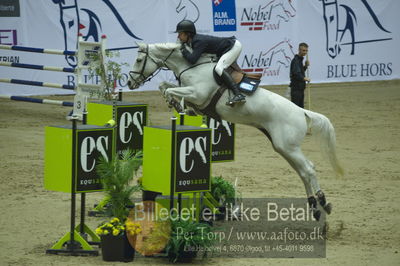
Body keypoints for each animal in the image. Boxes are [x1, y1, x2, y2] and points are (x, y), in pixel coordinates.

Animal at [127, 42, 344, 219]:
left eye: (138, 60)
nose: (130, 83)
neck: (191, 66)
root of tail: (302, 111)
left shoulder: (198, 94)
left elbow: (170, 90)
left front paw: (178, 104)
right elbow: (165, 86)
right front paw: (181, 106)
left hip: (288, 147)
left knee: (308, 169)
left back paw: (324, 202)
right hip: (283, 148)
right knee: (303, 172)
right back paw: (315, 207)